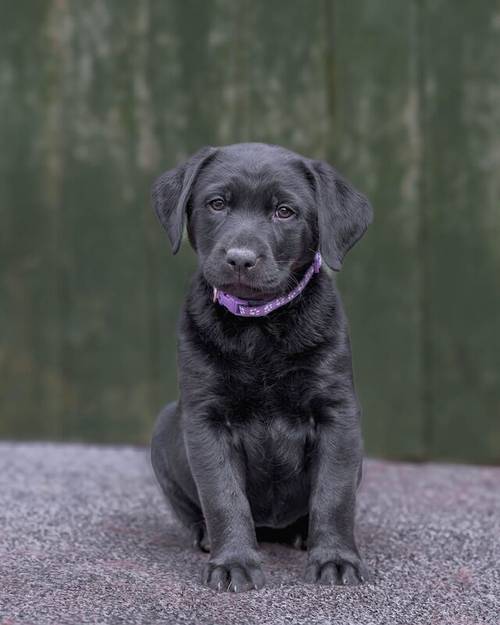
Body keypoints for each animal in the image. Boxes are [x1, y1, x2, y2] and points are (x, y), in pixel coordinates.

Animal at [150, 144, 374, 592]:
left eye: (284, 212)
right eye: (217, 204)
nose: (240, 259)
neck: (258, 326)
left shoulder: (336, 413)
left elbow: (334, 494)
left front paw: (335, 559)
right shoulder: (205, 419)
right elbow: (223, 496)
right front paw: (234, 563)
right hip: (165, 428)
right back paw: (205, 535)